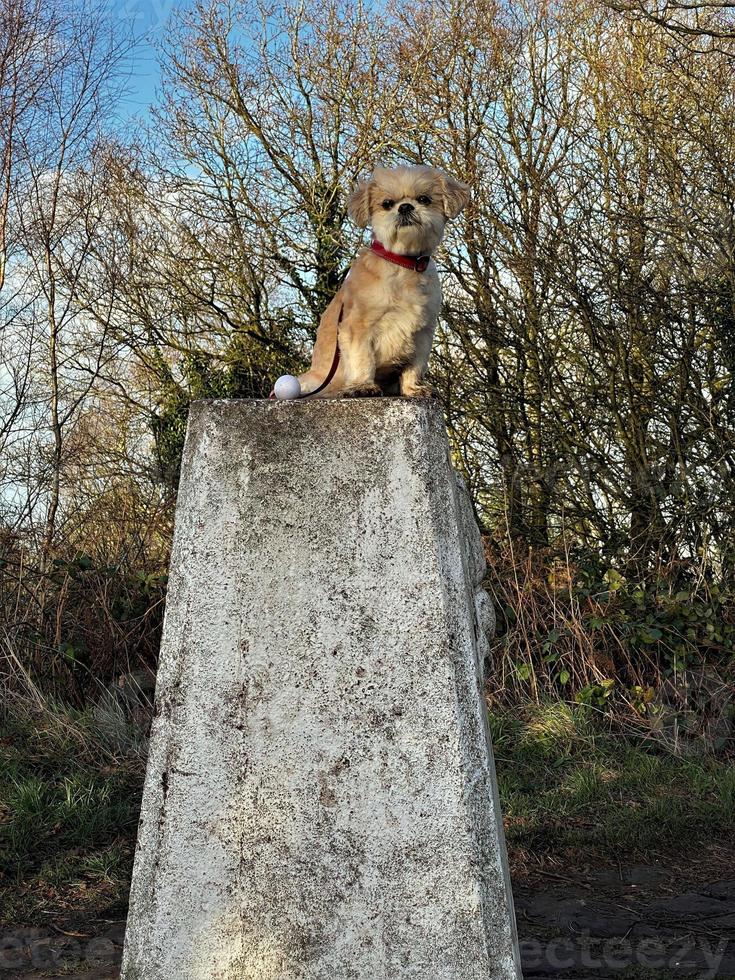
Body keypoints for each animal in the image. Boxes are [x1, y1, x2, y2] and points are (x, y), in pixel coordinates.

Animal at [298, 165, 472, 398]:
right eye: (387, 204)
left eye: (424, 199)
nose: (405, 207)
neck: (403, 264)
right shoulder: (358, 328)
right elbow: (363, 359)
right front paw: (363, 386)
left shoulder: (422, 334)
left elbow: (414, 366)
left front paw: (413, 388)